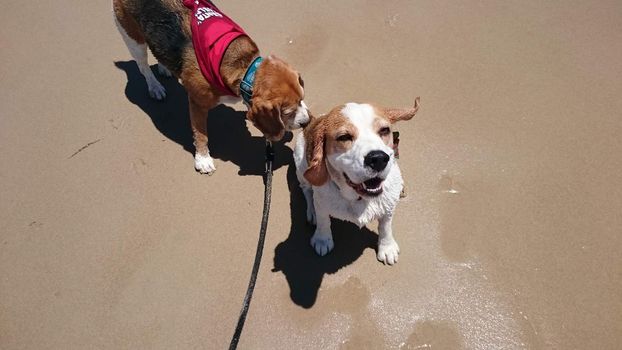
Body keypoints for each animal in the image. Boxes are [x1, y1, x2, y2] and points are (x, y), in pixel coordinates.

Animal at [114, 0, 310, 174]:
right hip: (132, 38)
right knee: (143, 67)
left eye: (302, 99)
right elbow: (201, 134)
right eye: (287, 112)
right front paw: (203, 159)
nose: (307, 121)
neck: (246, 68)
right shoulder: (197, 102)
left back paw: (164, 68)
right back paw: (155, 87)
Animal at [294, 97, 422, 264]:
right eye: (344, 137)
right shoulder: (322, 203)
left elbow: (385, 227)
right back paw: (312, 212)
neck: (358, 198)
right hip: (301, 168)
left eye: (384, 130)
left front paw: (386, 246)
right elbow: (323, 221)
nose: (378, 158)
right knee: (307, 192)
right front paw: (322, 239)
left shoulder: (388, 207)